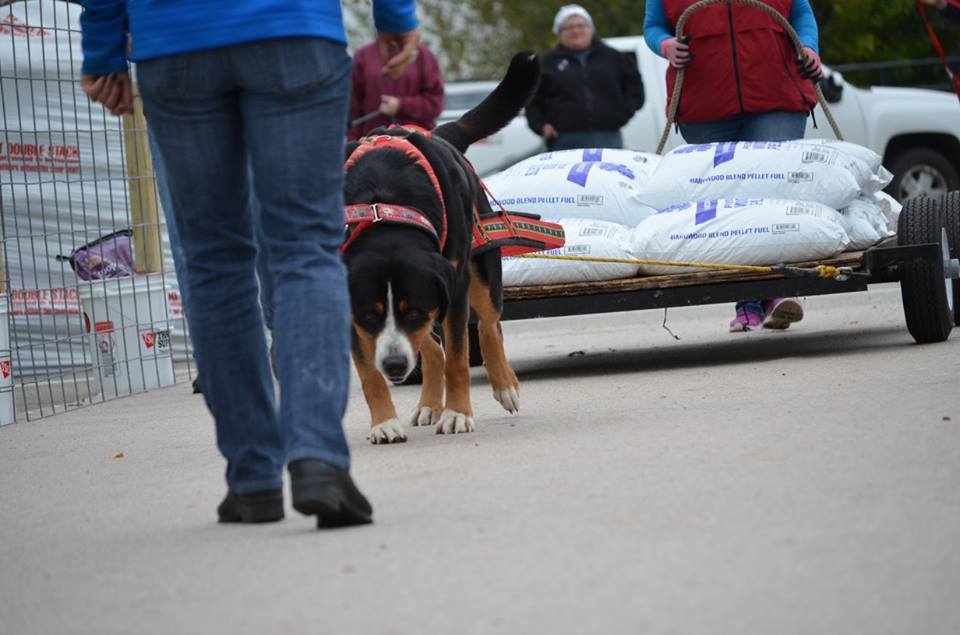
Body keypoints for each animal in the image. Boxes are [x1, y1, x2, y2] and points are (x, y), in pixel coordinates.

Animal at [344, 52, 540, 444]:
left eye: (414, 311)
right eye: (370, 316)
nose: (394, 365)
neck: (383, 202)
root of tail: (439, 133)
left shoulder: (451, 286)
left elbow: (459, 357)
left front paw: (457, 414)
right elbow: (369, 372)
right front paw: (383, 423)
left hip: (479, 270)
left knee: (489, 325)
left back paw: (504, 383)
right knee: (432, 349)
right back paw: (428, 404)